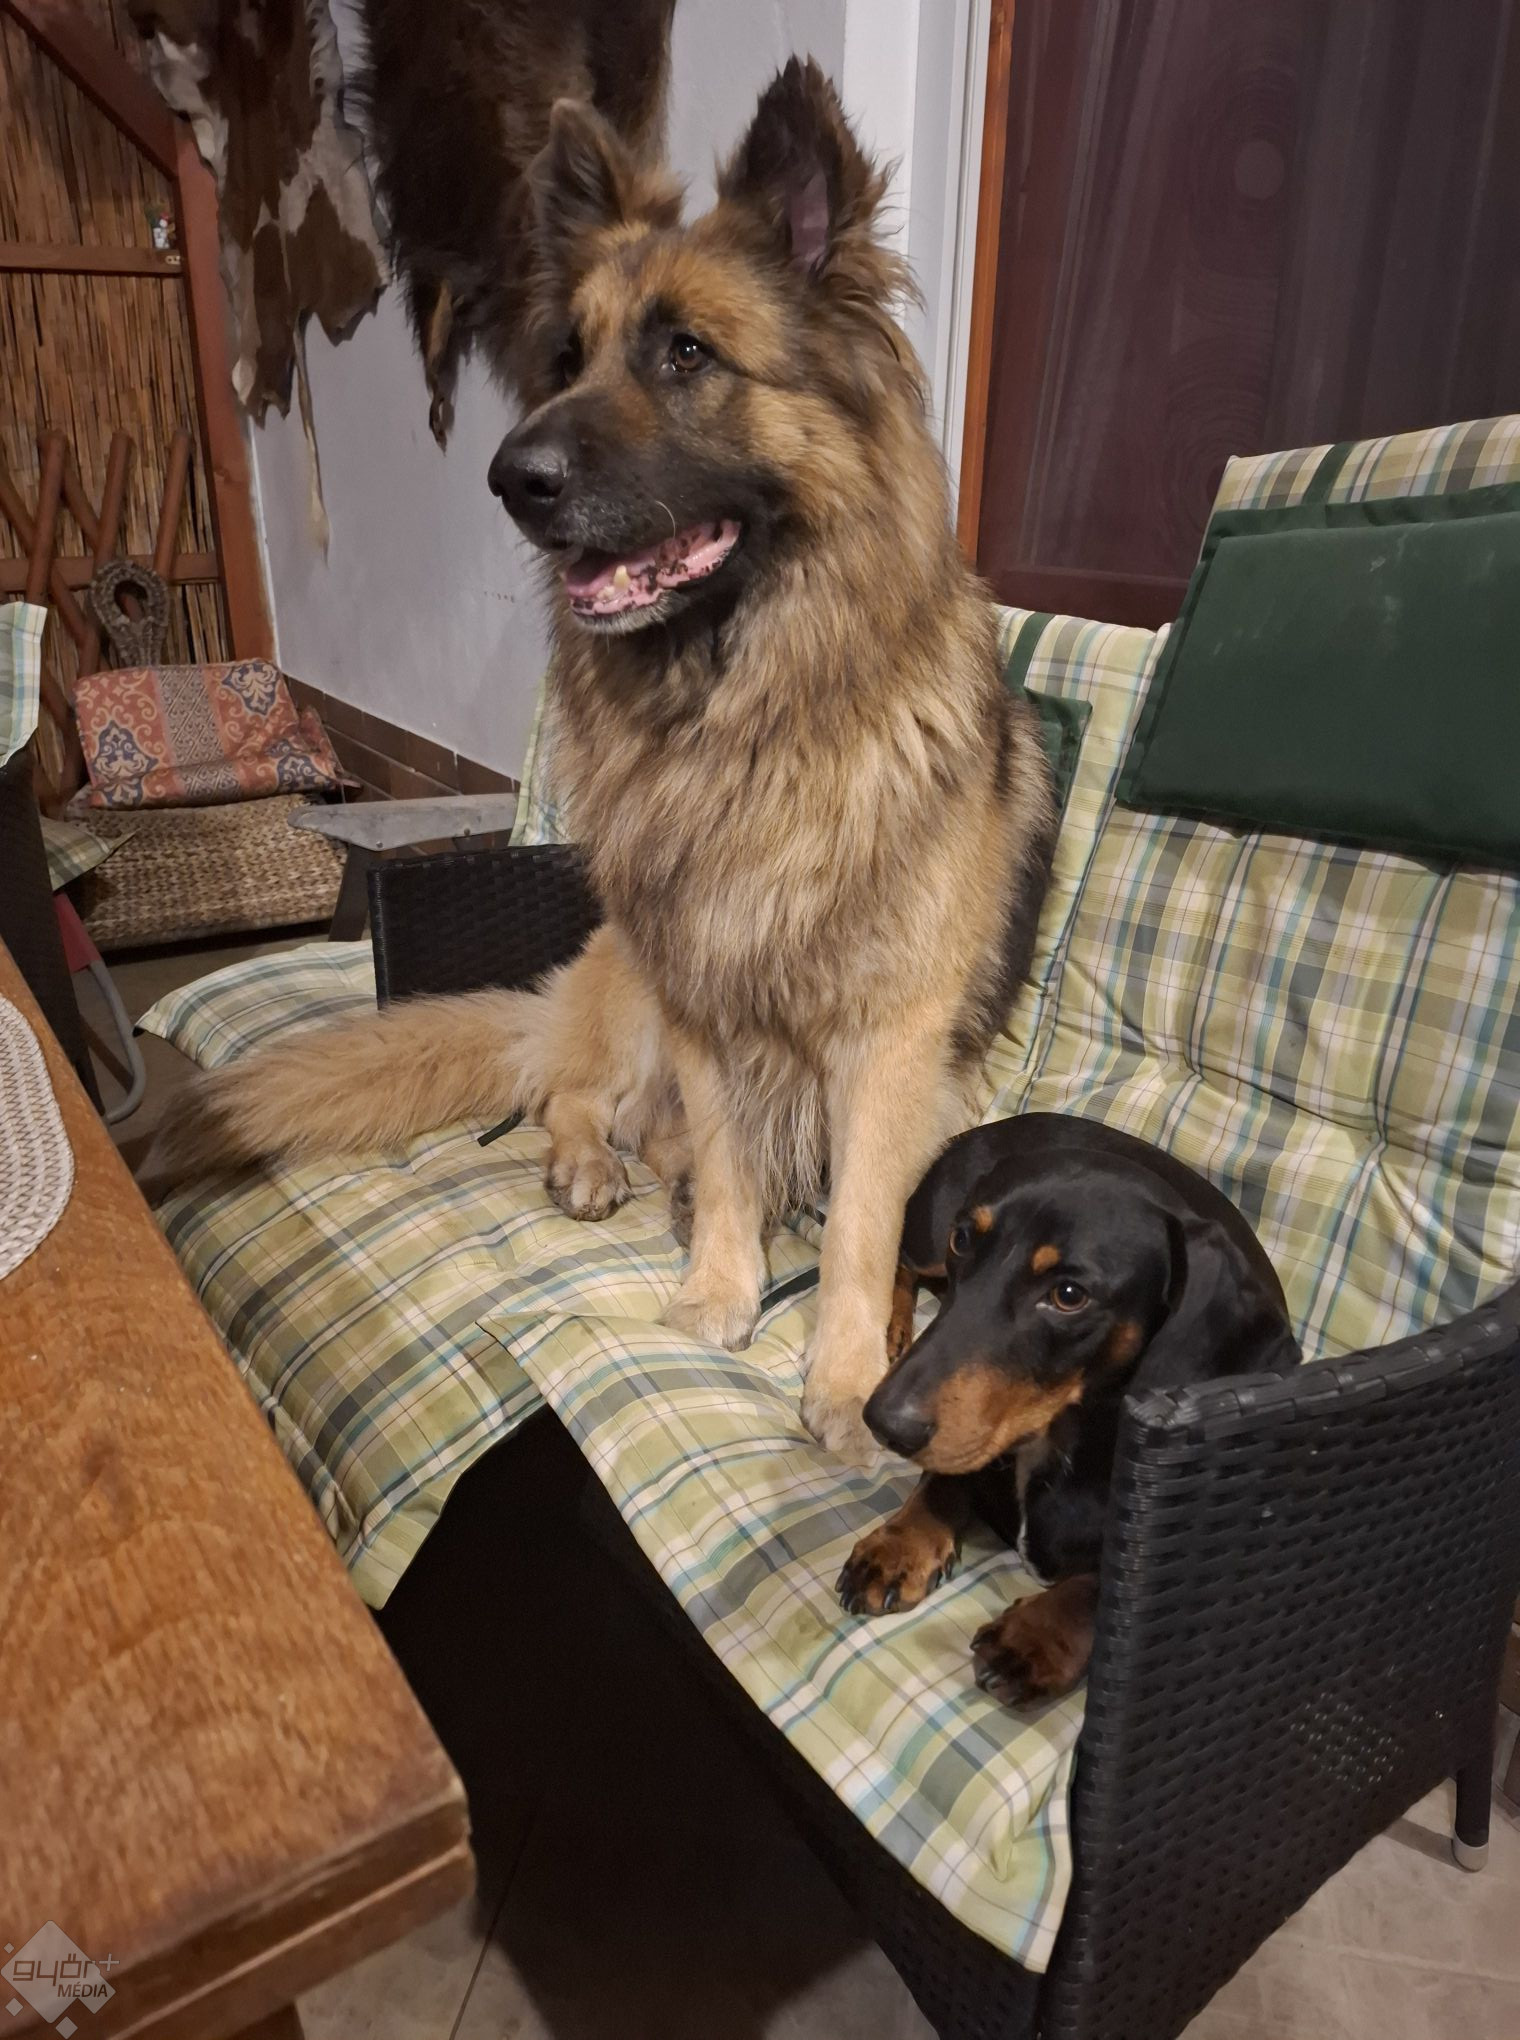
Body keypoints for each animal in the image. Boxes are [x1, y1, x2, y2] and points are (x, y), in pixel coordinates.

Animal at [158, 59, 1057, 1465]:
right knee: (573, 1098)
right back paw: (591, 1164)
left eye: (686, 352)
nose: (507, 478)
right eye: (566, 361)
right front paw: (715, 1295)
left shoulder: (890, 1044)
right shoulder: (697, 998)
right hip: (630, 990)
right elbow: (735, 1164)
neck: (733, 719)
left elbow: (857, 1227)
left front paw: (843, 1376)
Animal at [837, 1115, 1301, 1702]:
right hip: (925, 1237)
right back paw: (892, 1326)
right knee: (900, 1261)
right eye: (963, 1239)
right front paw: (898, 1547)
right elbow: (945, 1476)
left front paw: (1036, 1636)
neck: (1060, 1439)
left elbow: (1108, 1583)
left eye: (1069, 1295)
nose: (884, 1422)